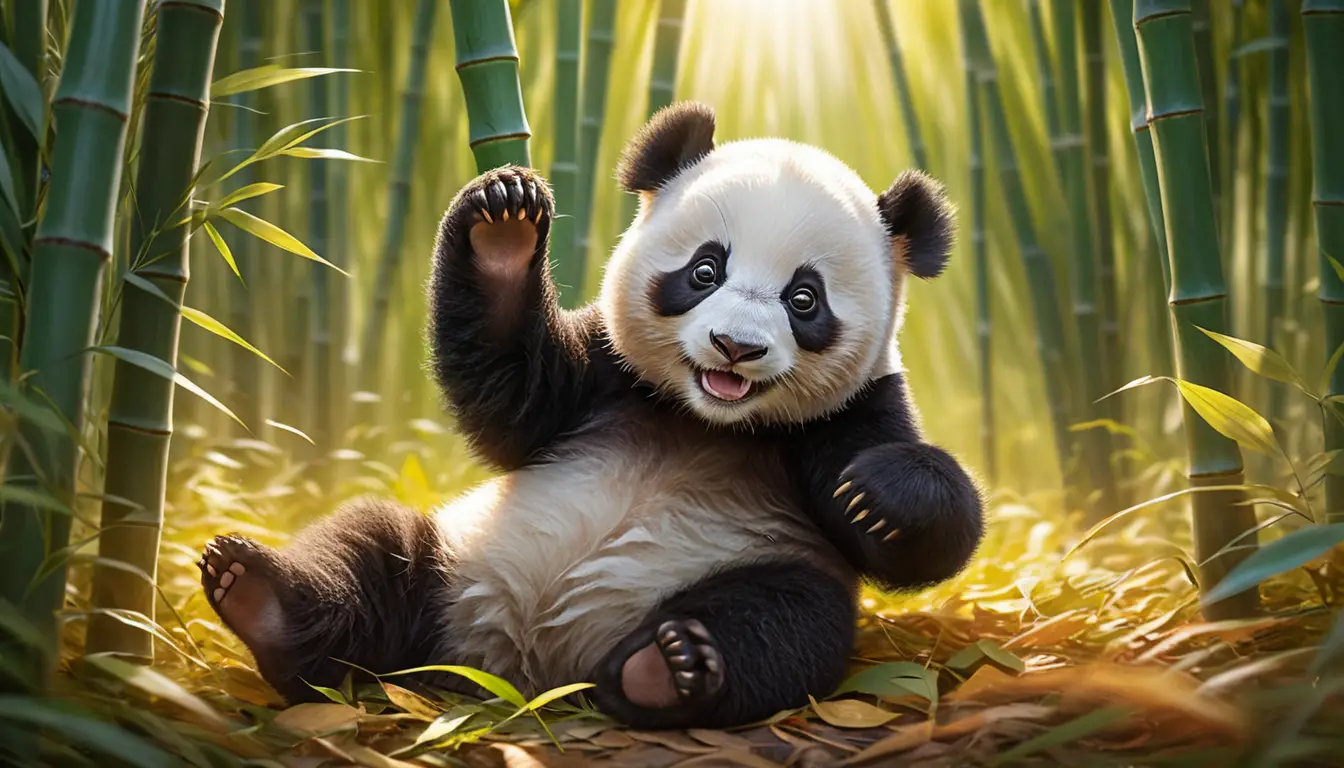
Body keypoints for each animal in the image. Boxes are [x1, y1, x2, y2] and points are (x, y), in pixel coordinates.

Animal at [198, 101, 985, 731]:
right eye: (705, 270)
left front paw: (879, 496)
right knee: (369, 550)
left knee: (785, 626)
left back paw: (670, 667)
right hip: (454, 556)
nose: (735, 347)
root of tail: (525, 665)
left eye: (804, 298)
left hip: (759, 567)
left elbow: (923, 534)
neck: (704, 419)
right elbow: (511, 395)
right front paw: (504, 223)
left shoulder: (849, 413)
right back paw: (261, 597)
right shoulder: (607, 374)